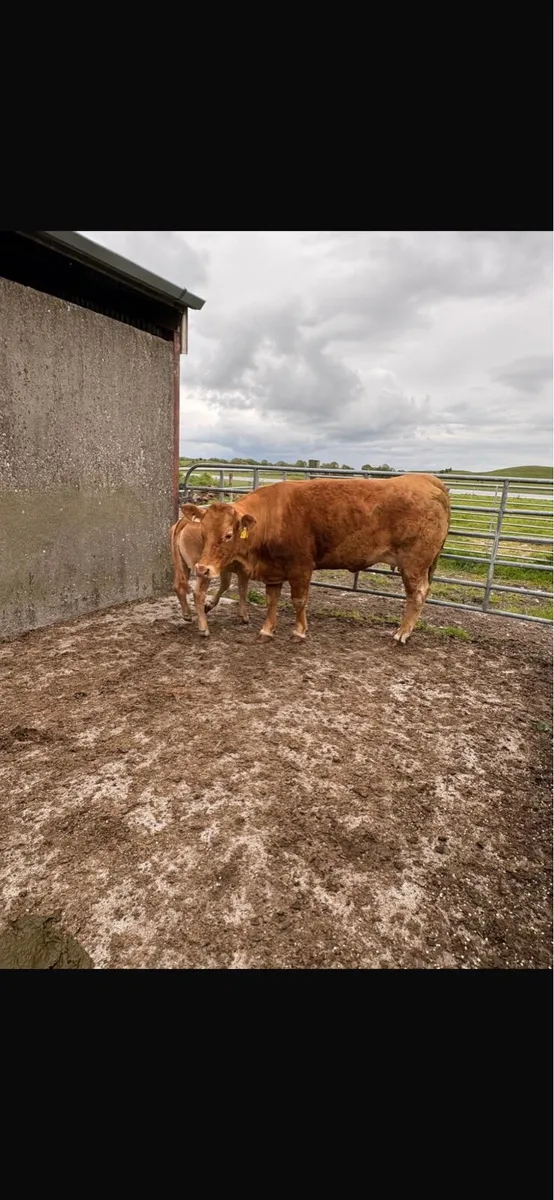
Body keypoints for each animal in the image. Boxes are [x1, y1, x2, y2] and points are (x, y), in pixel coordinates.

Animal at [180, 474, 450, 645]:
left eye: (228, 535)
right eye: (203, 532)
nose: (202, 568)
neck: (272, 517)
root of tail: (428, 479)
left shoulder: (300, 567)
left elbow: (299, 601)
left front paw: (299, 632)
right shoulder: (274, 571)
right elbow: (271, 601)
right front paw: (267, 630)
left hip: (414, 563)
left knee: (416, 595)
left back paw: (401, 634)